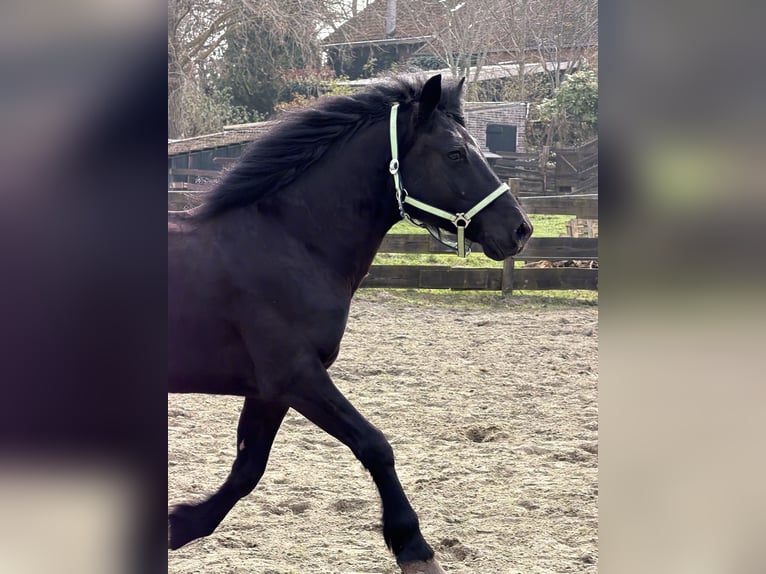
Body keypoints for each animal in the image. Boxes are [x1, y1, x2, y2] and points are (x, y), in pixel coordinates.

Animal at [168, 73, 532, 573]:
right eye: (456, 153)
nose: (520, 230)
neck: (289, 244)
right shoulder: (296, 376)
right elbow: (375, 445)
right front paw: (414, 549)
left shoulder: (270, 390)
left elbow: (247, 470)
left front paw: (178, 525)